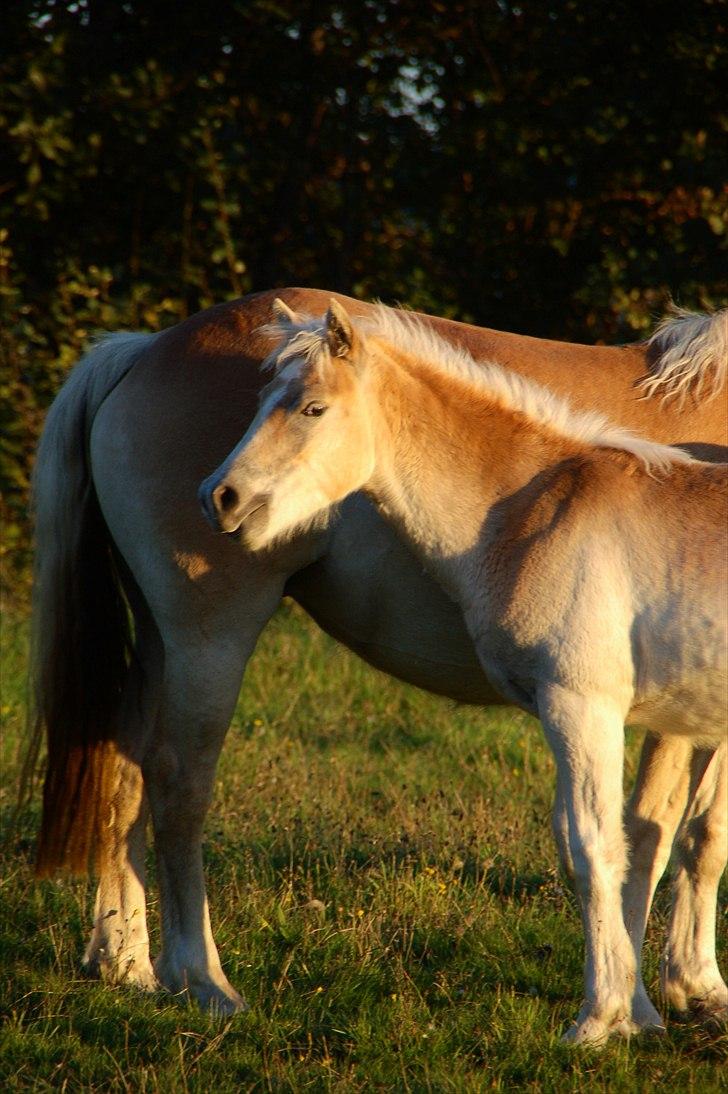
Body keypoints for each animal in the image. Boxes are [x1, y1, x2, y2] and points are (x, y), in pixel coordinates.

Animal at [29, 288, 726, 1023]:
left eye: (311, 409)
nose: (218, 495)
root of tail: (144, 350)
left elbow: (692, 836)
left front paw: (686, 987)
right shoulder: (634, 705)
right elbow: (650, 837)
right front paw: (646, 1000)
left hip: (160, 637)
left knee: (123, 772)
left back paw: (126, 962)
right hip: (207, 636)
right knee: (179, 785)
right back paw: (203, 978)